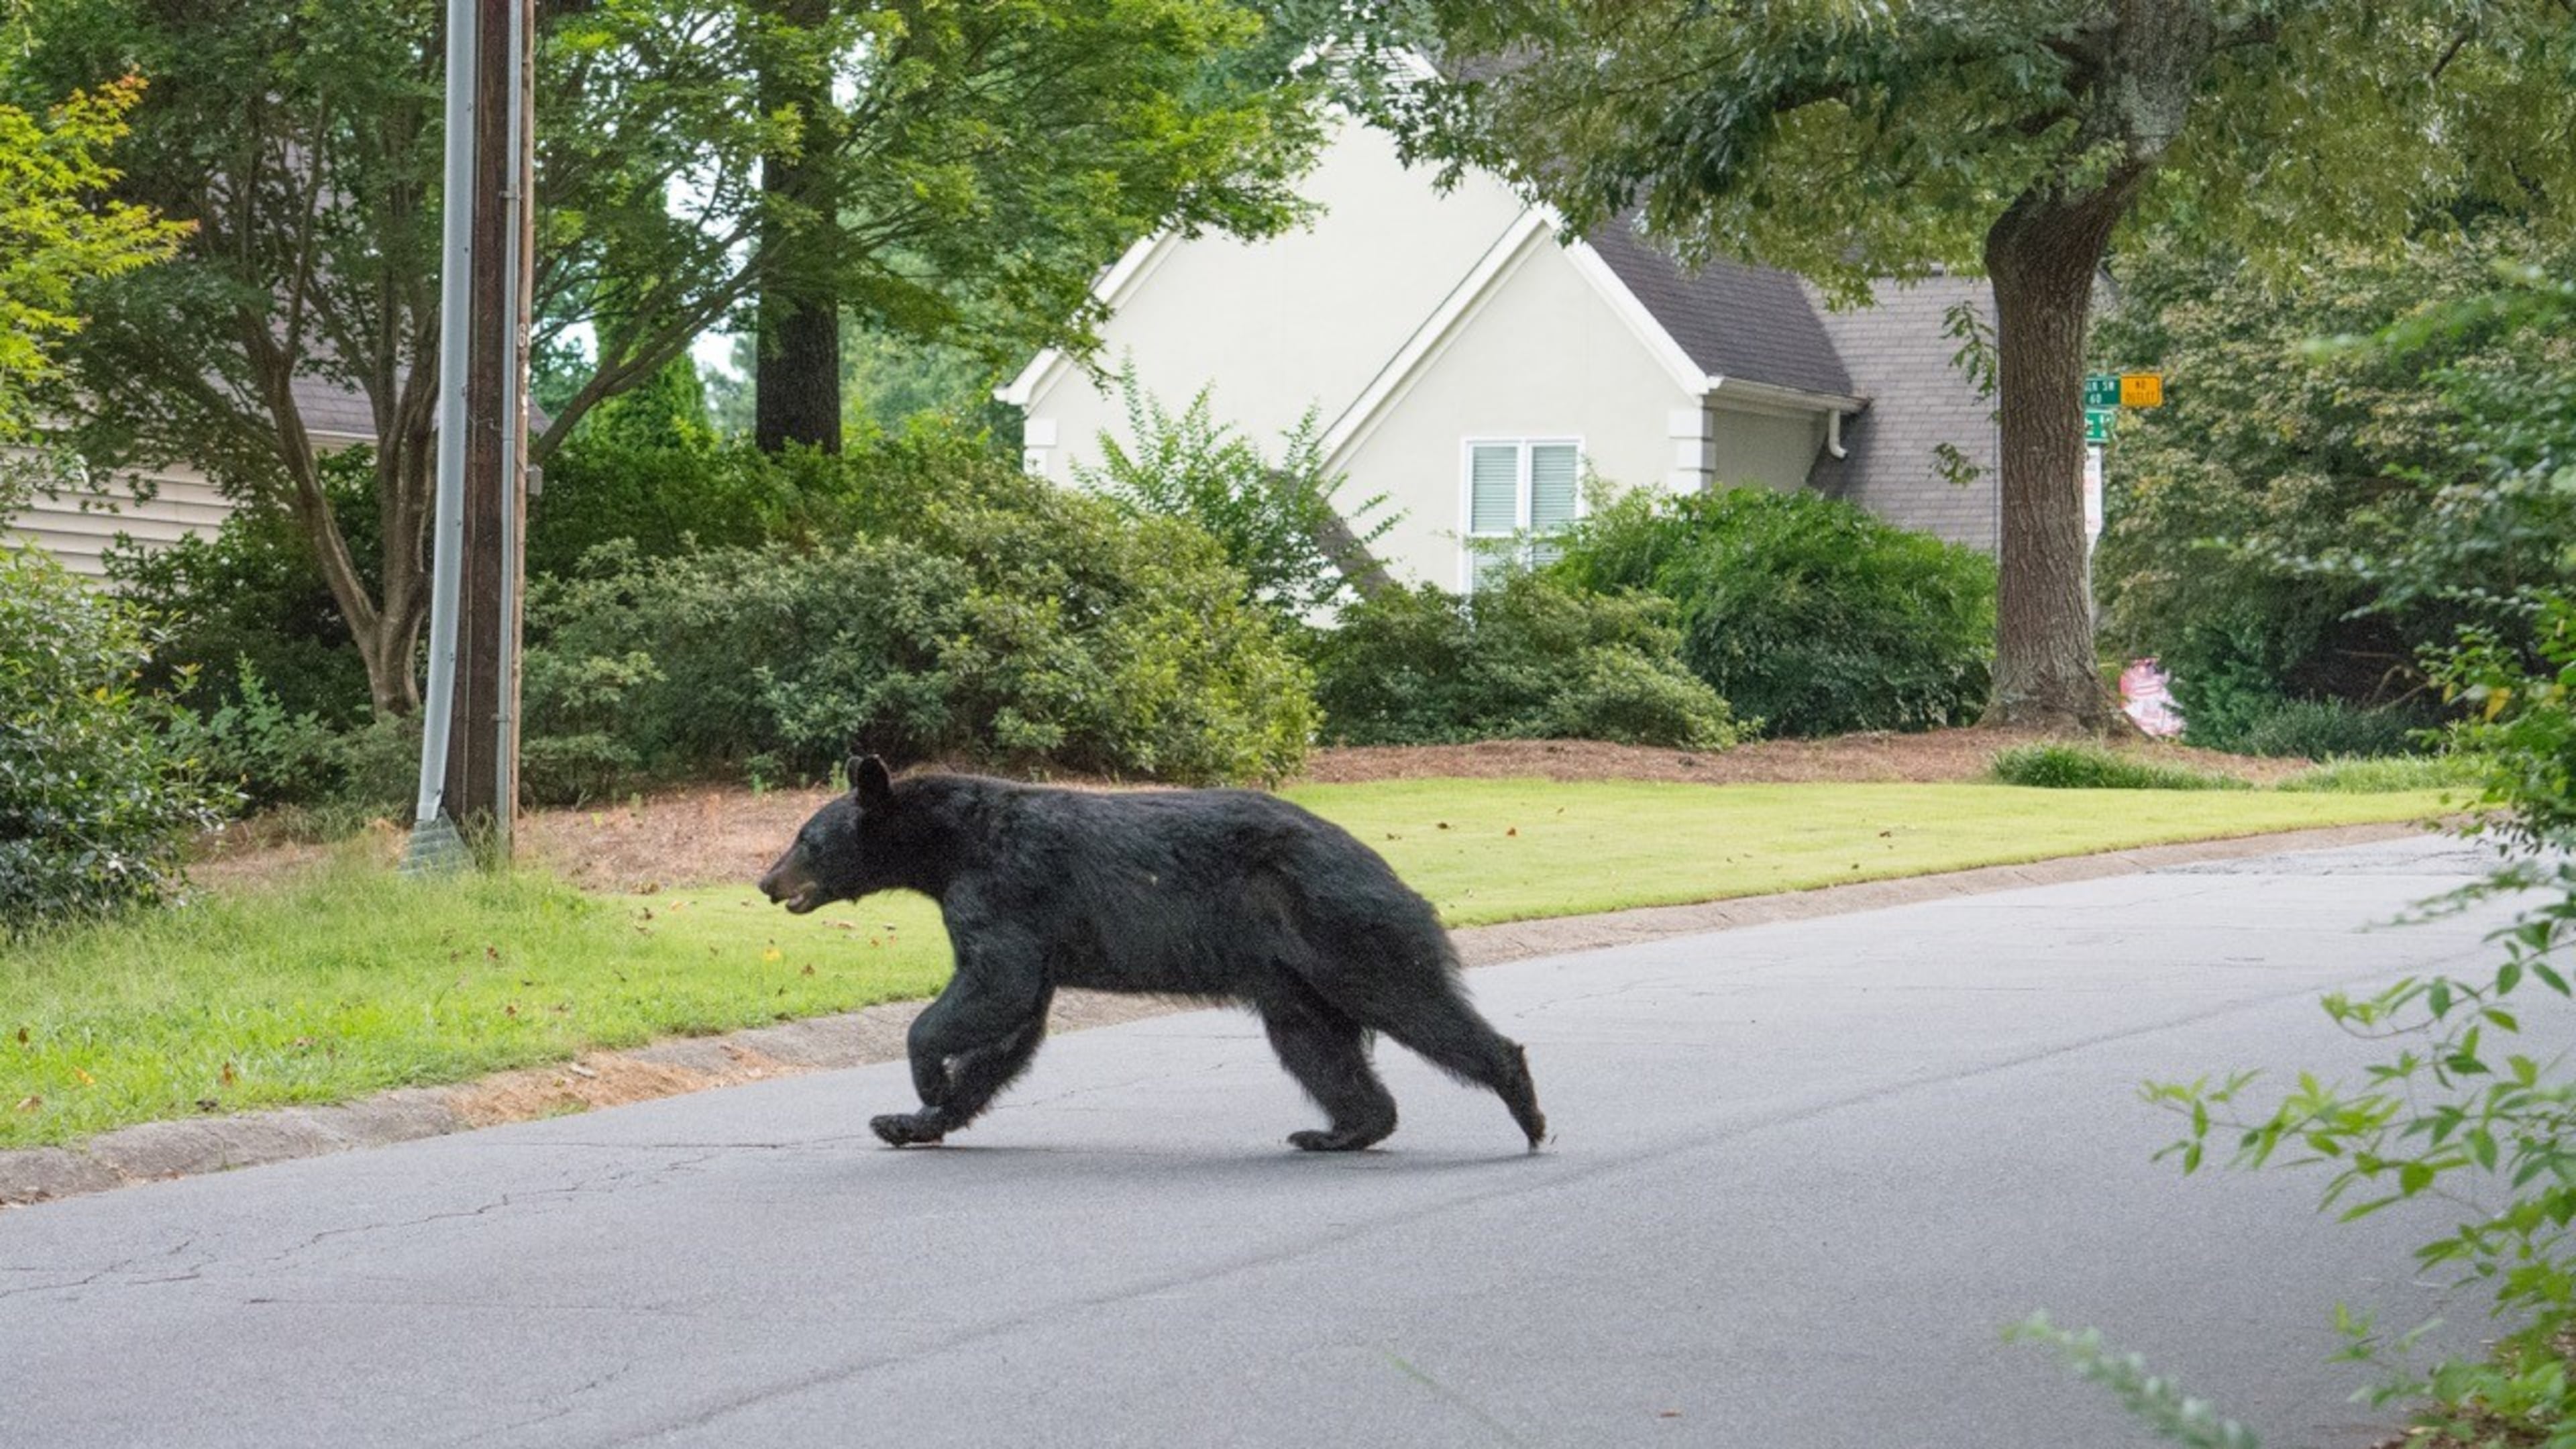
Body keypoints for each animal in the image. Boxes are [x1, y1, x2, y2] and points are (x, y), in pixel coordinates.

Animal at [757, 756, 1546, 1153]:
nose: (766, 882)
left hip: (1341, 928)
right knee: (1315, 1044)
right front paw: (911, 1119)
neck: (950, 843)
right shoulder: (1024, 920)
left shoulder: (1008, 887)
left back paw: (1523, 1101)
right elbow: (1011, 1025)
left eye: (807, 839)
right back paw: (1343, 1130)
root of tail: (1389, 870)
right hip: (1291, 976)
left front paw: (926, 1077)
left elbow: (993, 987)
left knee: (1411, 1002)